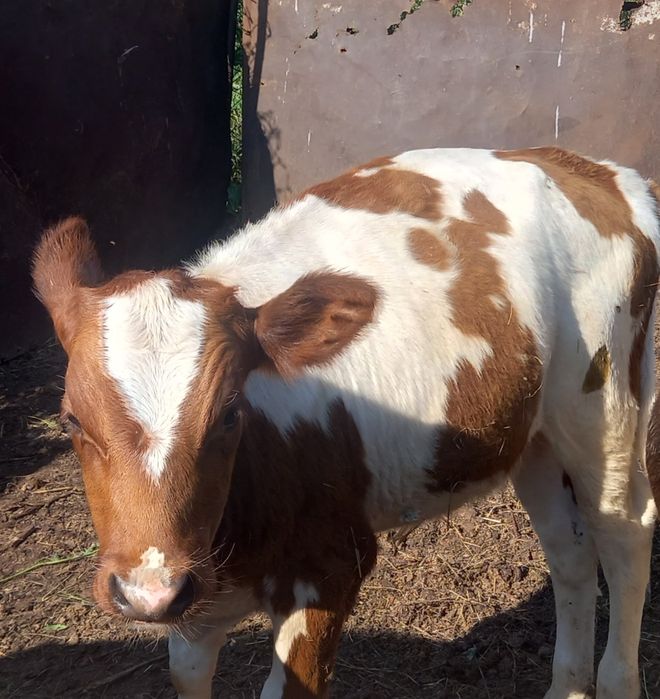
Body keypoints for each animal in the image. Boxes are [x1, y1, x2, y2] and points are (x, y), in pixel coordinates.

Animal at [32, 147, 660, 699]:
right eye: (71, 420)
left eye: (231, 413)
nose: (146, 595)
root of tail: (599, 171)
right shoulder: (192, 591)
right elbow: (187, 674)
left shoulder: (331, 565)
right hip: (533, 431)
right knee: (569, 549)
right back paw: (566, 686)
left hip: (604, 401)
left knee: (624, 532)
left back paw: (616, 680)